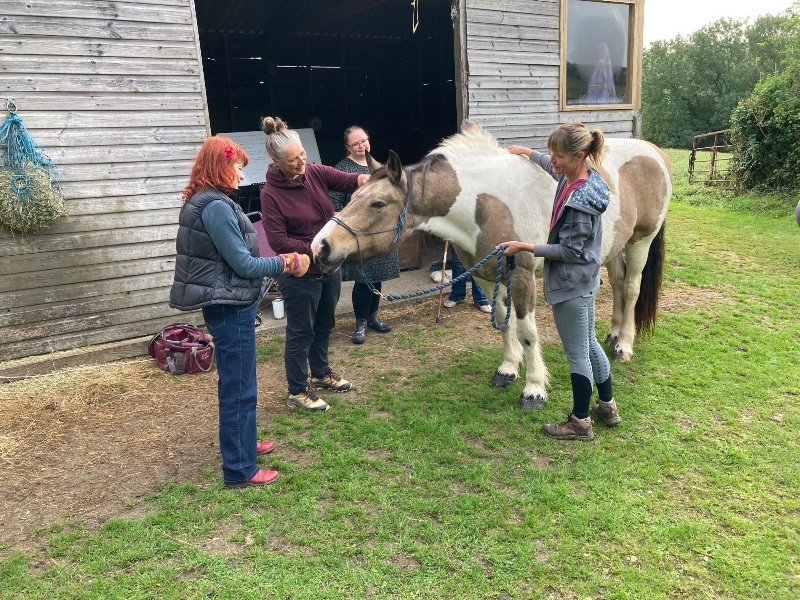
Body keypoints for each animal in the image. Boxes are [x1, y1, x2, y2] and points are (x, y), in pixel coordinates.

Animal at [312, 128, 668, 406]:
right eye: (353, 195)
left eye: (378, 203)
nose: (320, 247)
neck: (483, 204)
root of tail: (653, 152)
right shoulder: (485, 275)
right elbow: (502, 322)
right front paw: (508, 370)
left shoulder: (522, 277)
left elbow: (527, 333)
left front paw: (534, 388)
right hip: (615, 247)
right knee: (619, 284)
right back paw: (612, 334)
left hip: (641, 241)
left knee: (632, 288)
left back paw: (623, 345)